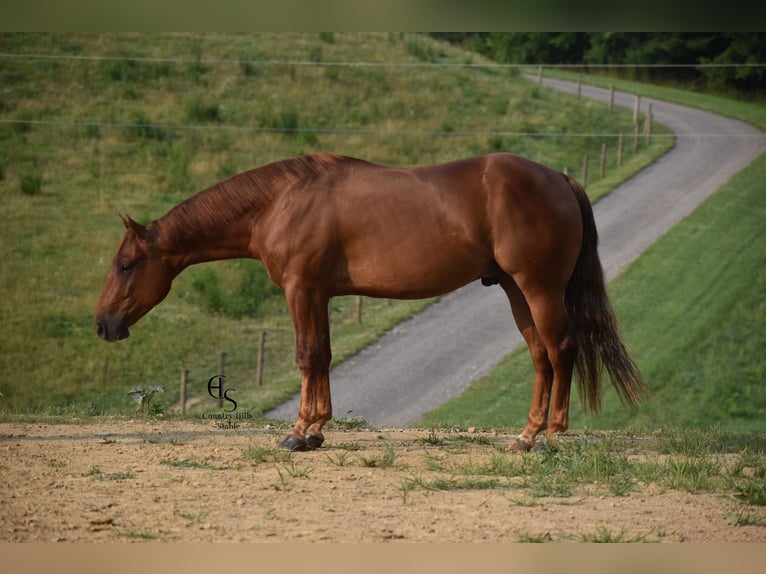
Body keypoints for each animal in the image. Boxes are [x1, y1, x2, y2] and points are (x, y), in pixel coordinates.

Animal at [94, 152, 646, 451]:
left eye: (126, 265)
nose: (102, 324)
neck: (281, 202)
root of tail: (560, 178)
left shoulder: (301, 289)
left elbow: (307, 356)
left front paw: (298, 432)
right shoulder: (318, 293)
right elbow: (323, 355)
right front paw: (317, 431)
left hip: (538, 287)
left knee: (561, 349)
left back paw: (549, 437)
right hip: (515, 290)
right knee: (539, 355)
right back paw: (525, 436)